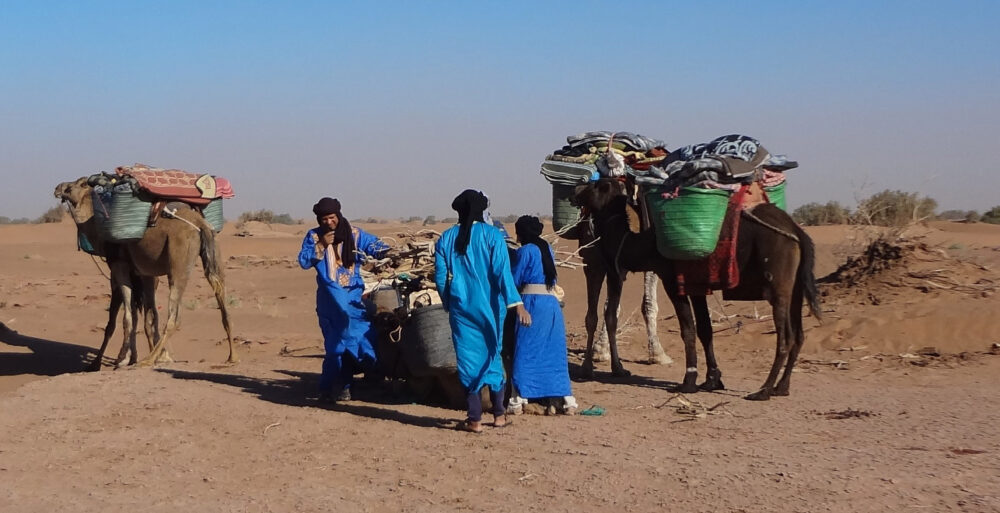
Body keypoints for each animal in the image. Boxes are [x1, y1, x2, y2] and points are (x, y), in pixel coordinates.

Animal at [54, 178, 236, 366]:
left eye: (79, 184)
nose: (58, 187)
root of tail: (200, 224)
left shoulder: (119, 267)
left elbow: (126, 317)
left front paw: (121, 359)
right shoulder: (145, 274)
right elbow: (147, 316)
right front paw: (133, 357)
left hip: (179, 261)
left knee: (174, 316)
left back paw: (148, 360)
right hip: (214, 252)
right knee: (223, 304)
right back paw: (232, 357)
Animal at [576, 180, 824, 400]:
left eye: (598, 185)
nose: (577, 190)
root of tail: (797, 231)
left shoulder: (673, 282)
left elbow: (688, 330)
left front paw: (688, 382)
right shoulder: (696, 285)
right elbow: (705, 329)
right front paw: (712, 380)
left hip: (778, 284)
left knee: (785, 337)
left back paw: (763, 390)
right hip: (796, 287)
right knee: (799, 335)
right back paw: (781, 388)